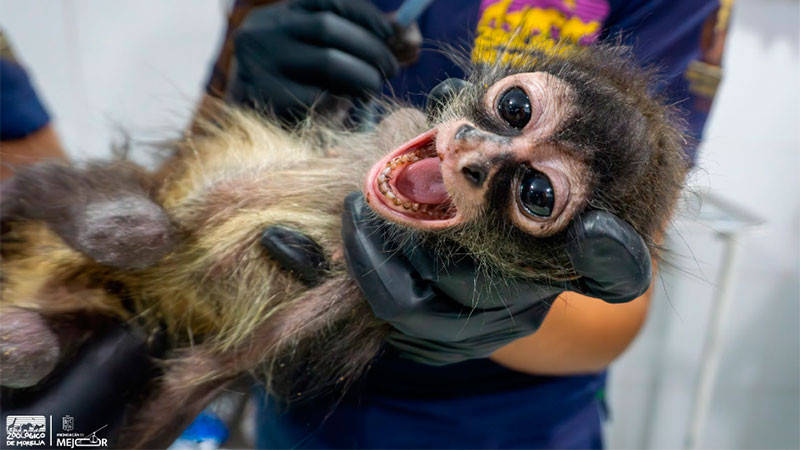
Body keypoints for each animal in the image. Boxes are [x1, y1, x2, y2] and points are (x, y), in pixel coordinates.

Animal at [0, 42, 689, 448]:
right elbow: (146, 219)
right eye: (515, 107)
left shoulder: (348, 296)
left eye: (536, 193)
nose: (473, 153)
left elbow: (195, 379)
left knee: (38, 346)